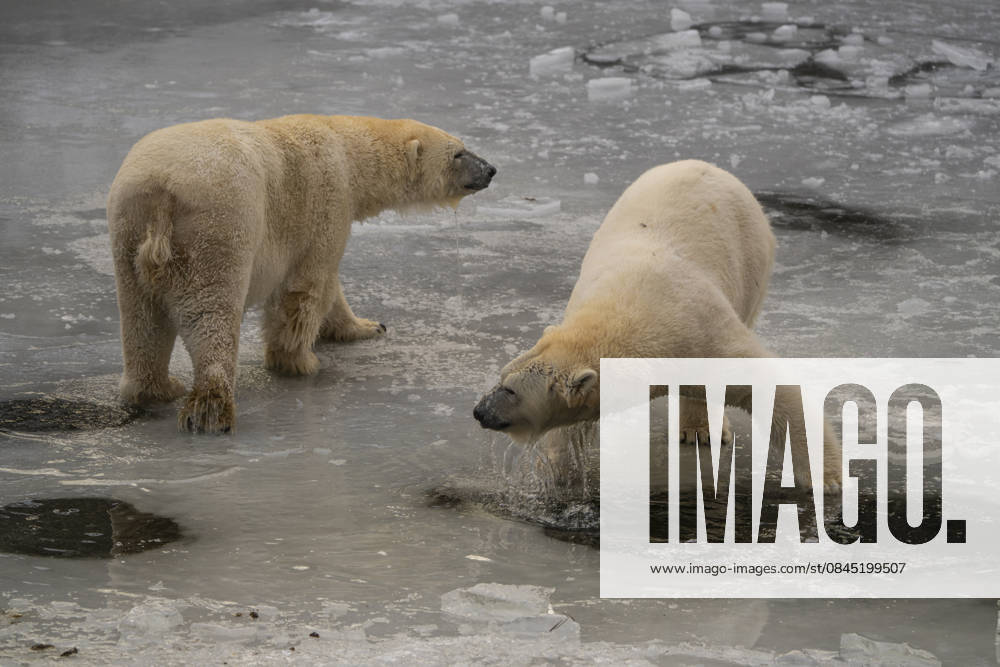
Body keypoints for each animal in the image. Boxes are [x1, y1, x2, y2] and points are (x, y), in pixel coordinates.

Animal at [108, 114, 495, 434]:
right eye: (459, 153)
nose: (491, 169)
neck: (348, 150)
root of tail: (162, 191)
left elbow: (331, 289)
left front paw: (367, 327)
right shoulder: (325, 203)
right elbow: (309, 286)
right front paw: (300, 361)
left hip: (128, 230)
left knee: (142, 318)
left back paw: (156, 388)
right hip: (217, 227)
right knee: (211, 313)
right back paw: (212, 409)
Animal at [473, 160, 841, 491]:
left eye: (511, 390)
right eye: (501, 377)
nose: (479, 411)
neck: (628, 318)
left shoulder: (700, 332)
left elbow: (769, 385)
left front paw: (829, 479)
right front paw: (557, 471)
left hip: (751, 258)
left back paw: (701, 429)